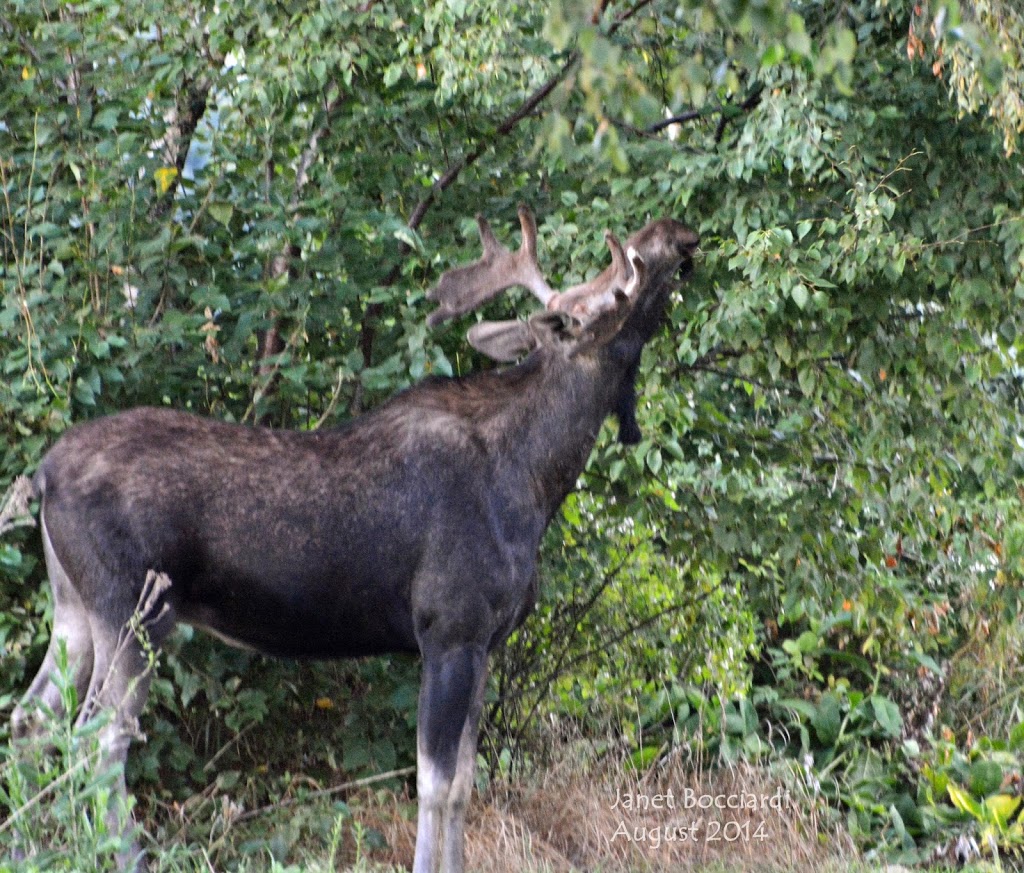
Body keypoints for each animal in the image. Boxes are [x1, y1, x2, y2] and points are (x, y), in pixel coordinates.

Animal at [12, 205, 696, 871]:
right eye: (614, 289)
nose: (675, 234)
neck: (535, 481)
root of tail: (42, 475)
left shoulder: (485, 642)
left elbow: (465, 784)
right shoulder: (448, 630)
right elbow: (434, 784)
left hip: (73, 610)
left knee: (31, 720)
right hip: (135, 611)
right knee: (100, 738)